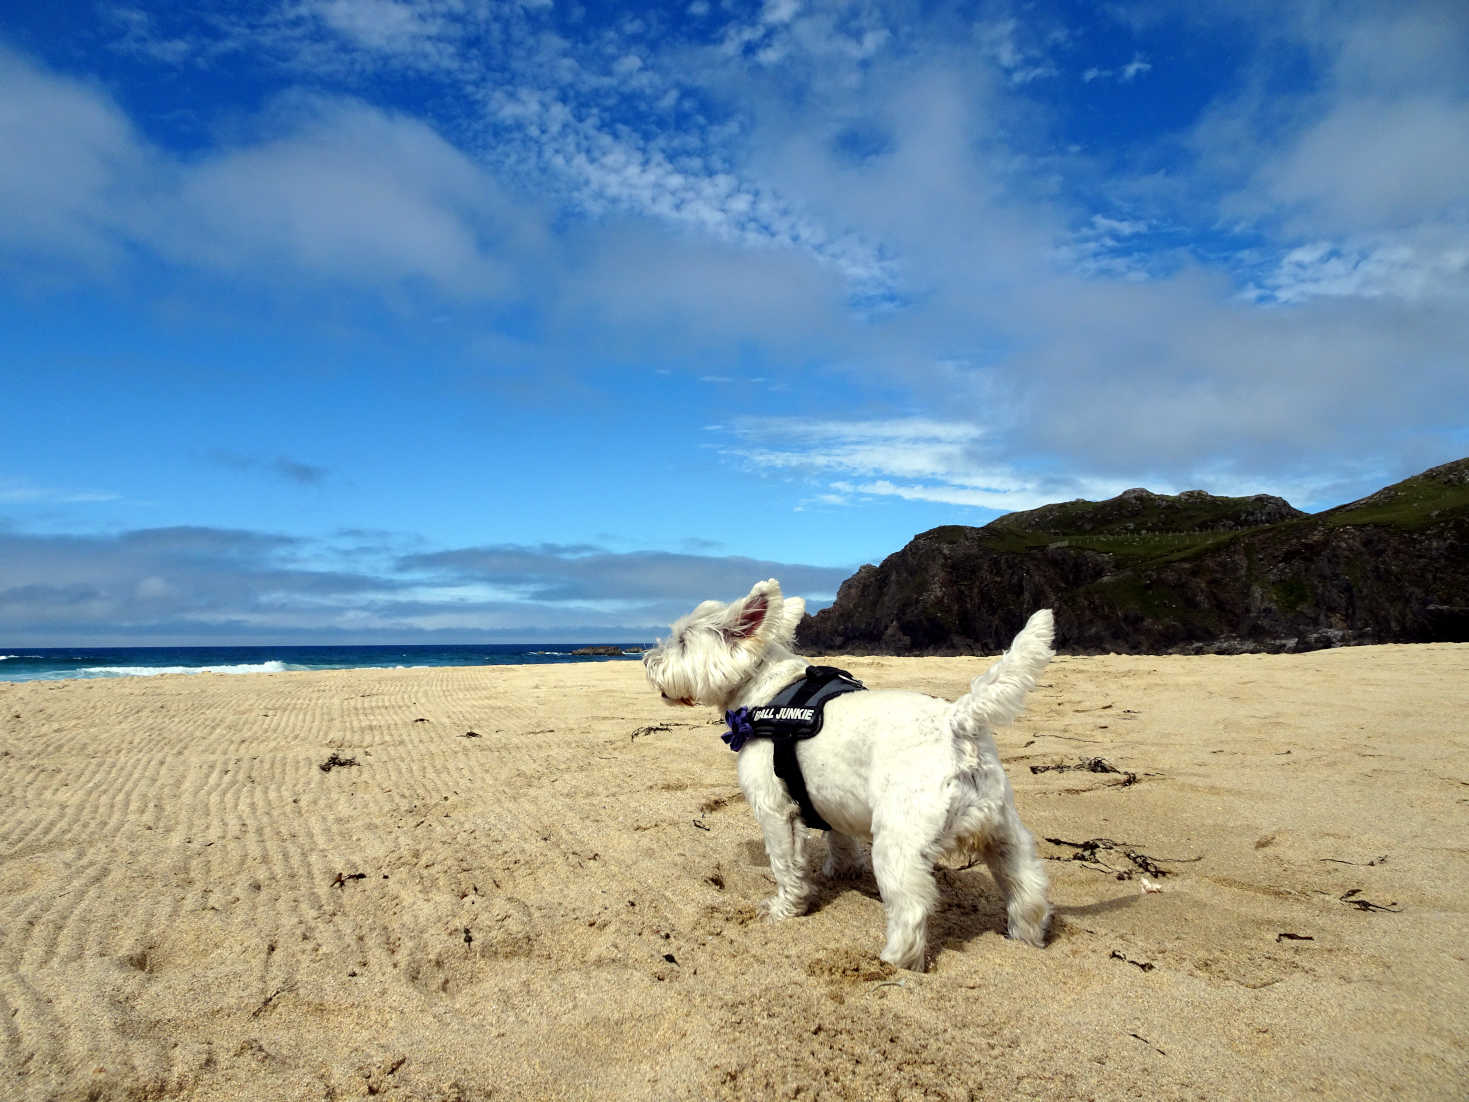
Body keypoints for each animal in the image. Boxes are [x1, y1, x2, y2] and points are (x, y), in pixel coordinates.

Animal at [646, 581, 1057, 969]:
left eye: (682, 641)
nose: (647, 661)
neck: (766, 691)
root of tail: (958, 721)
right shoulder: (830, 800)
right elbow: (839, 840)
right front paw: (841, 872)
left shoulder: (775, 809)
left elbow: (785, 864)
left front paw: (784, 909)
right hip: (1004, 834)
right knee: (1029, 887)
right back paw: (1025, 938)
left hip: (899, 845)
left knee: (911, 910)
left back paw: (893, 961)